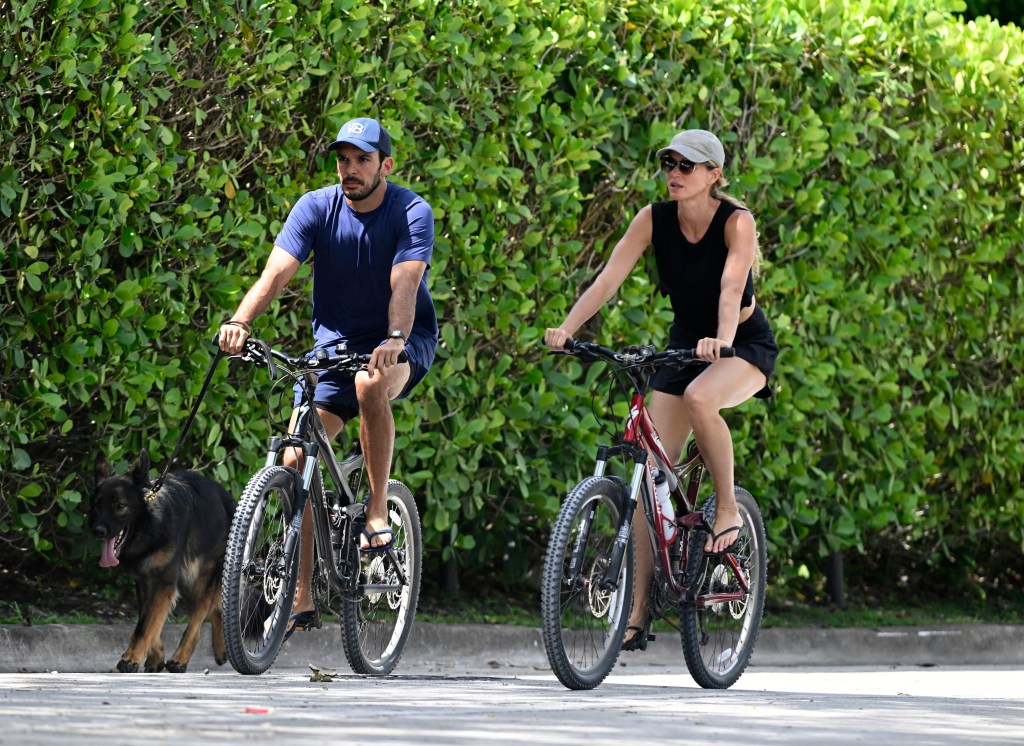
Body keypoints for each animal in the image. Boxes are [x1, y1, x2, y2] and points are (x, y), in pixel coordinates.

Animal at [90, 450, 235, 671]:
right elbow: (148, 621)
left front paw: (131, 658)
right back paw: (220, 649)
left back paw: (180, 658)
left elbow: (146, 625)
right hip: (193, 582)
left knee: (199, 616)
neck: (152, 527)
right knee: (214, 608)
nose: (97, 531)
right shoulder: (145, 582)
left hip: (205, 577)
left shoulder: (165, 583)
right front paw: (155, 656)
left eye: (120, 506)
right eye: (97, 505)